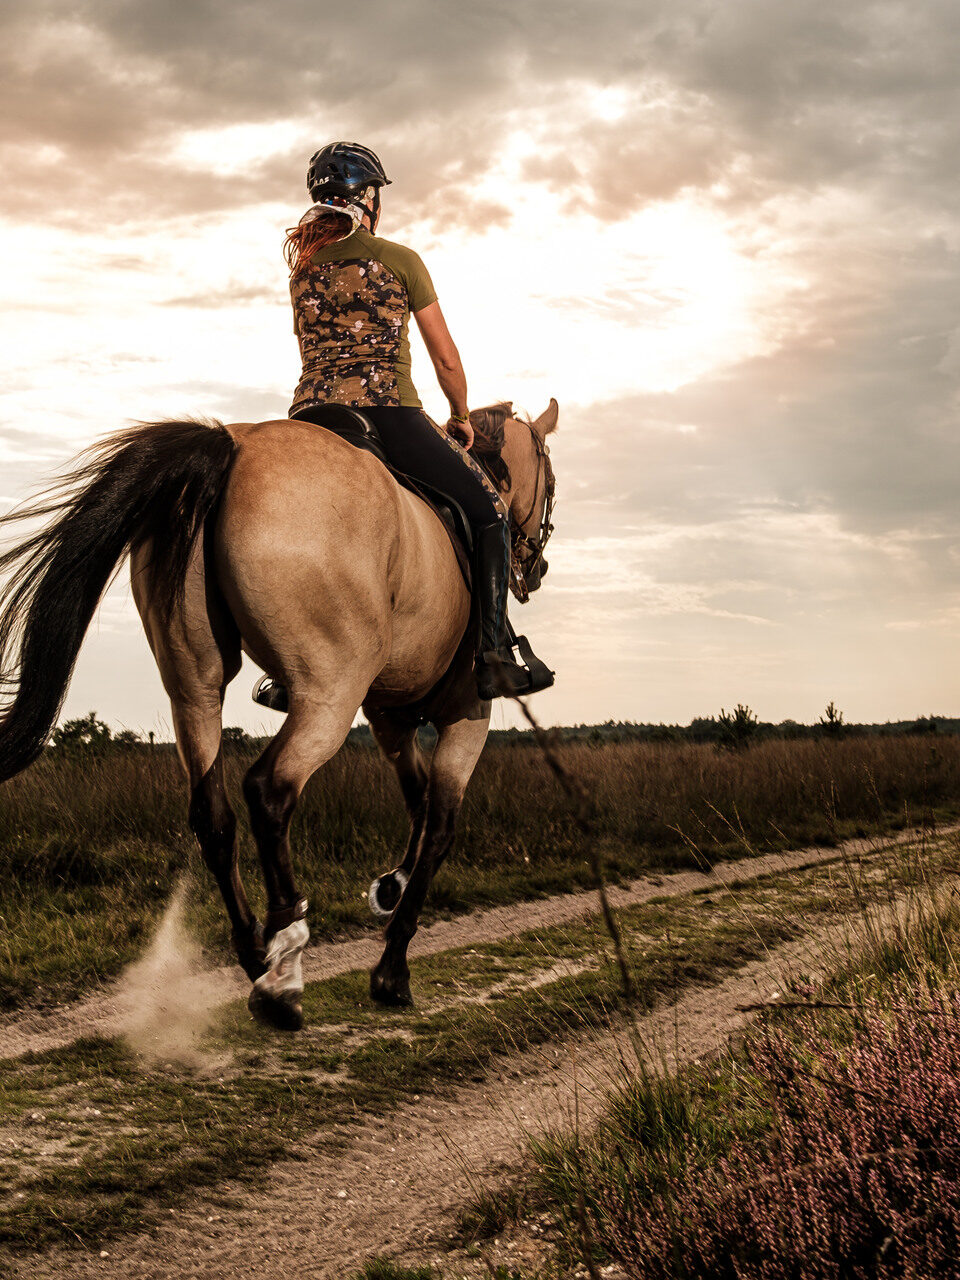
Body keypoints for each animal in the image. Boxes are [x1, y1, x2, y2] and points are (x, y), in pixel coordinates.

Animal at [0, 399, 560, 1029]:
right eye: (550, 481)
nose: (535, 567)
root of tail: (233, 446)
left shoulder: (388, 718)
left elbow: (416, 804)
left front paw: (390, 887)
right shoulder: (468, 716)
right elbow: (438, 828)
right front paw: (392, 969)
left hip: (194, 685)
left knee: (213, 813)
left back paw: (253, 953)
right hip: (329, 693)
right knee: (269, 789)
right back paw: (284, 964)